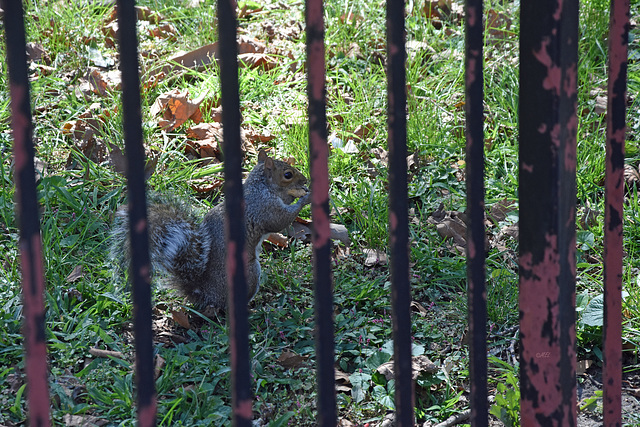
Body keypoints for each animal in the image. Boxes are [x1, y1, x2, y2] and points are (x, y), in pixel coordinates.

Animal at [112, 150, 312, 310]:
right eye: (288, 174)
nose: (305, 180)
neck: (261, 186)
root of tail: (205, 293)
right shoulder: (263, 207)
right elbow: (279, 220)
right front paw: (305, 198)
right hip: (251, 272)